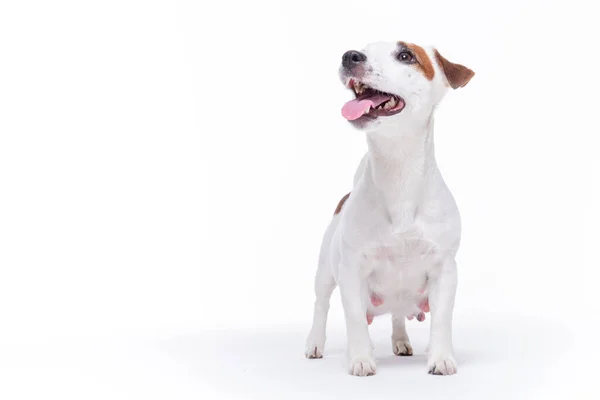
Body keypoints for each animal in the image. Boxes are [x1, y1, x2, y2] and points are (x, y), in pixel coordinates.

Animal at [304, 39, 474, 376]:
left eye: (406, 55)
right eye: (364, 48)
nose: (350, 56)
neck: (397, 168)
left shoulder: (445, 269)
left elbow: (442, 319)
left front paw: (440, 357)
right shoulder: (351, 270)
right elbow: (354, 318)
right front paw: (360, 359)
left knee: (397, 316)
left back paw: (401, 341)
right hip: (325, 272)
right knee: (321, 305)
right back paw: (315, 343)